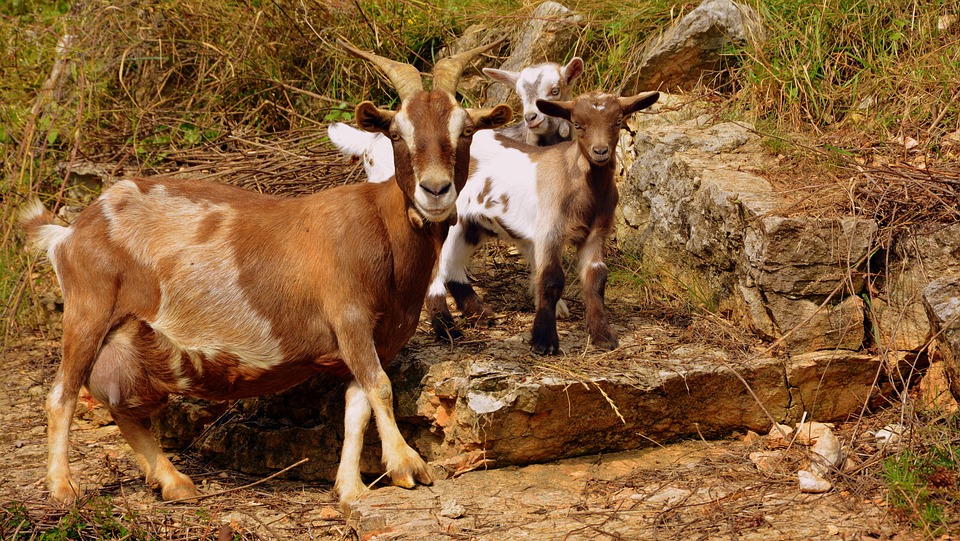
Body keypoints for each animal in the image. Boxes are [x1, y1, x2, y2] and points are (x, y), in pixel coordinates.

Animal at [20, 41, 512, 511]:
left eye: (465, 130)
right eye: (396, 132)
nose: (435, 190)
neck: (381, 225)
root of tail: (71, 232)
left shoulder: (378, 337)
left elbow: (357, 405)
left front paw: (351, 489)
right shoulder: (349, 318)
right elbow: (382, 389)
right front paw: (406, 465)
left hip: (130, 338)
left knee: (125, 409)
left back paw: (175, 484)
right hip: (88, 311)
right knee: (62, 394)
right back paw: (63, 489)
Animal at [425, 90, 660, 354]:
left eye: (618, 120)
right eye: (578, 124)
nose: (600, 151)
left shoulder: (596, 233)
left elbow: (596, 278)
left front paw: (603, 335)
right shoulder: (549, 230)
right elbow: (550, 279)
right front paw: (543, 340)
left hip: (471, 224)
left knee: (453, 264)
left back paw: (479, 312)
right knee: (434, 268)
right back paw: (446, 328)